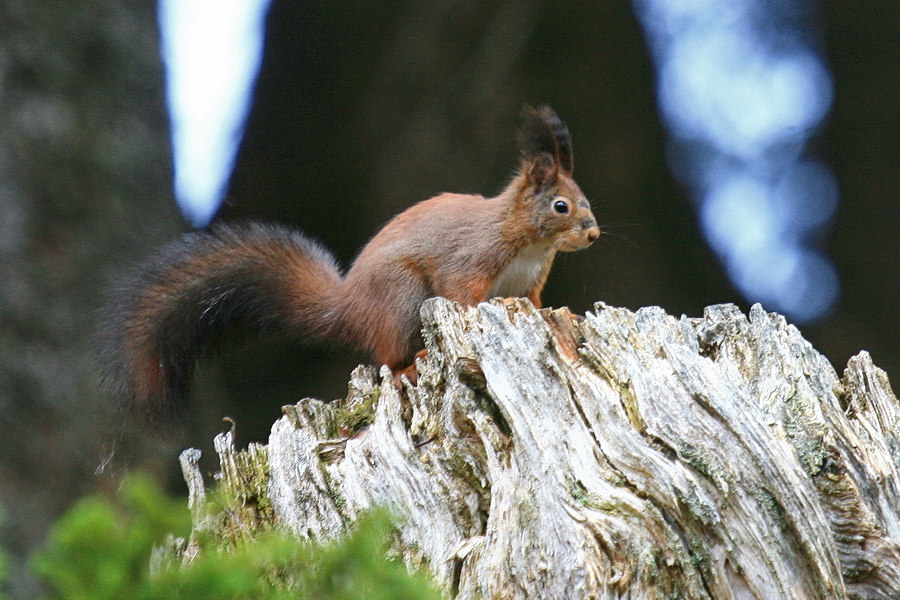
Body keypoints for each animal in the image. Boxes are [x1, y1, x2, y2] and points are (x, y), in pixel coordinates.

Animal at [100, 108, 596, 426]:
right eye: (561, 206)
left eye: (584, 201)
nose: (592, 234)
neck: (530, 243)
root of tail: (349, 309)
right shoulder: (471, 257)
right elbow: (459, 292)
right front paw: (474, 315)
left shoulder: (529, 281)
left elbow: (533, 302)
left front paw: (561, 316)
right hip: (400, 298)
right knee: (387, 357)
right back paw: (408, 367)